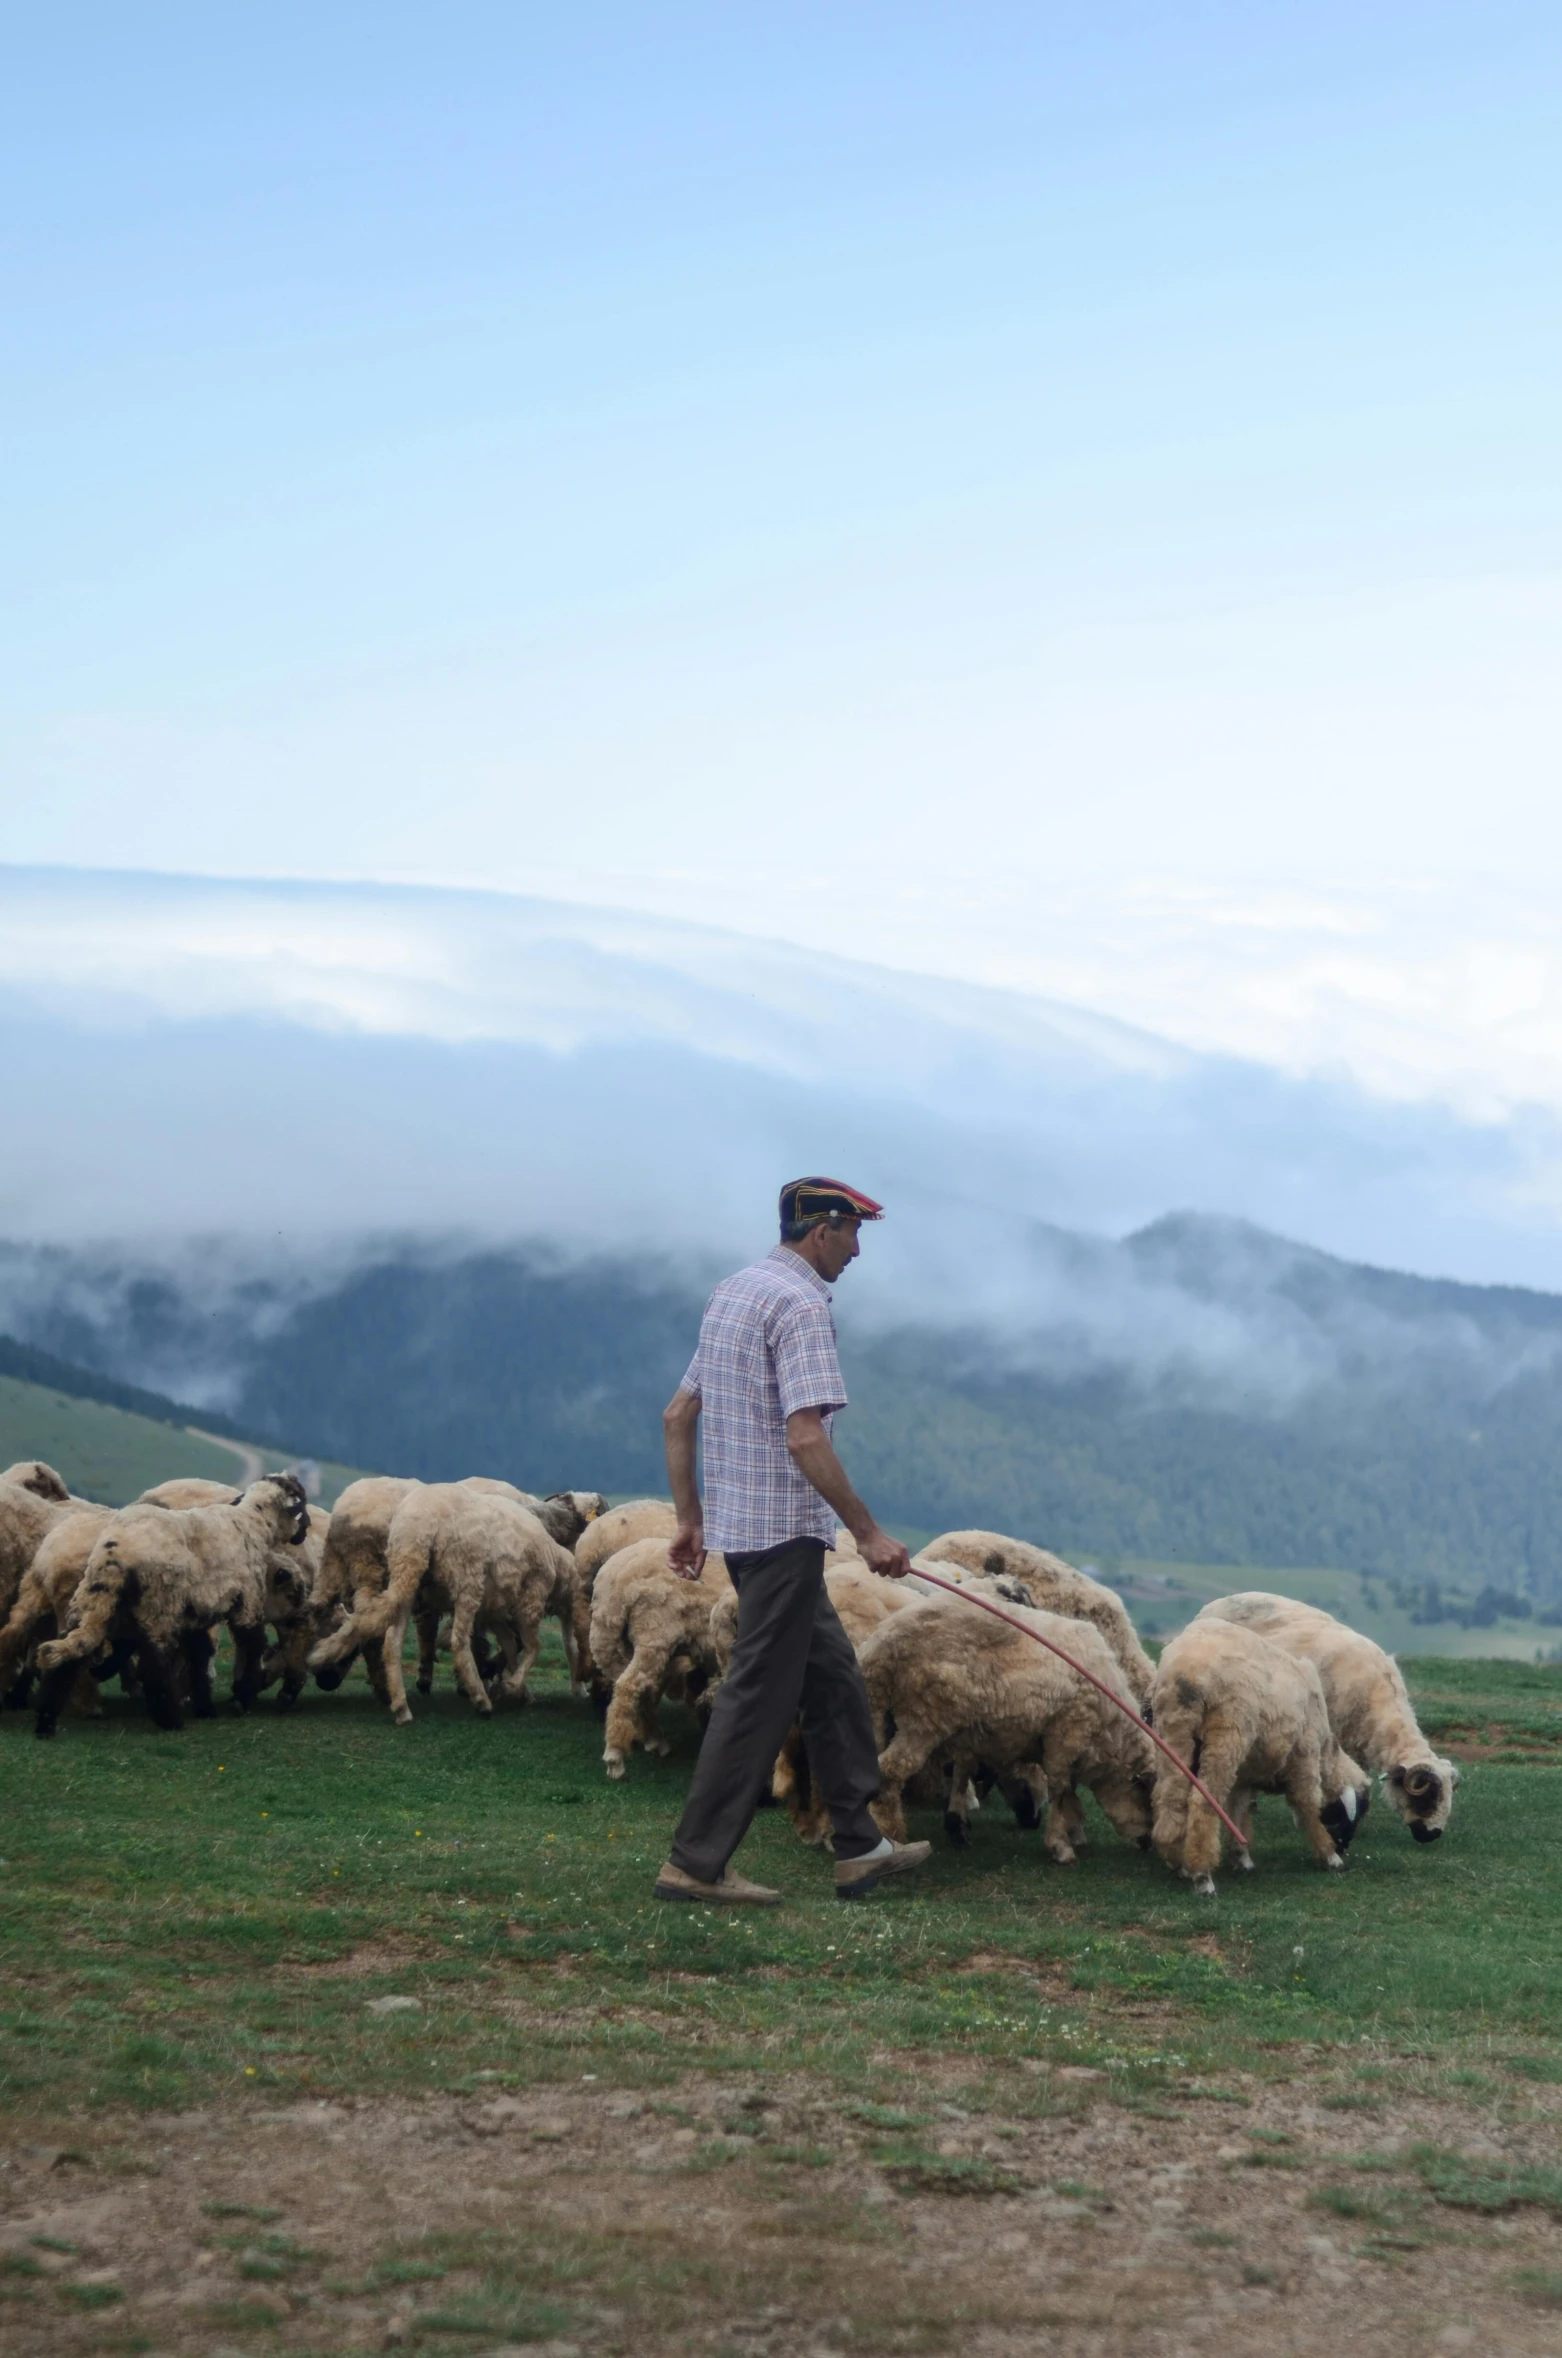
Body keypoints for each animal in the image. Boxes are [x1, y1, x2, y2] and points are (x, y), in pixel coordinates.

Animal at [32, 1471, 311, 1735]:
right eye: (301, 1504)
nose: (305, 1530)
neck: (254, 1522)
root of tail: (115, 1553)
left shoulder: (197, 1614)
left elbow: (200, 1657)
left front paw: (206, 1708)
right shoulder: (248, 1604)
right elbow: (253, 1646)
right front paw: (243, 1698)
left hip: (89, 1599)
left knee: (67, 1657)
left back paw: (45, 1723)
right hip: (158, 1607)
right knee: (154, 1667)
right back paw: (171, 1720)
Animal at [589, 1537, 736, 1773]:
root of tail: (617, 1578)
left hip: (609, 1640)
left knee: (640, 1690)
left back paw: (654, 1740)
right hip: (654, 1634)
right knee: (629, 1686)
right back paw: (615, 1755)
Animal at [863, 1584, 1156, 1858]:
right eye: (1147, 1800)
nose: (1148, 1843)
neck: (1112, 1731)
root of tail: (883, 1644)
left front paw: (1074, 1833)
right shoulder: (1066, 1736)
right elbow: (1061, 1791)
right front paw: (1061, 1846)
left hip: (880, 1713)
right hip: (925, 1718)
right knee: (891, 1770)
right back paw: (893, 1832)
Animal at [1151, 1622, 1368, 1895]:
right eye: (1351, 1818)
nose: (1343, 1847)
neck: (1326, 1749)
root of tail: (1186, 1669)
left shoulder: (1244, 1777)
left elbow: (1238, 1810)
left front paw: (1242, 1857)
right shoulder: (1306, 1754)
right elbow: (1307, 1804)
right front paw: (1330, 1857)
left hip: (1173, 1732)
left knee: (1170, 1797)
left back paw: (1178, 1861)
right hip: (1227, 1732)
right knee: (1204, 1800)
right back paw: (1202, 1875)